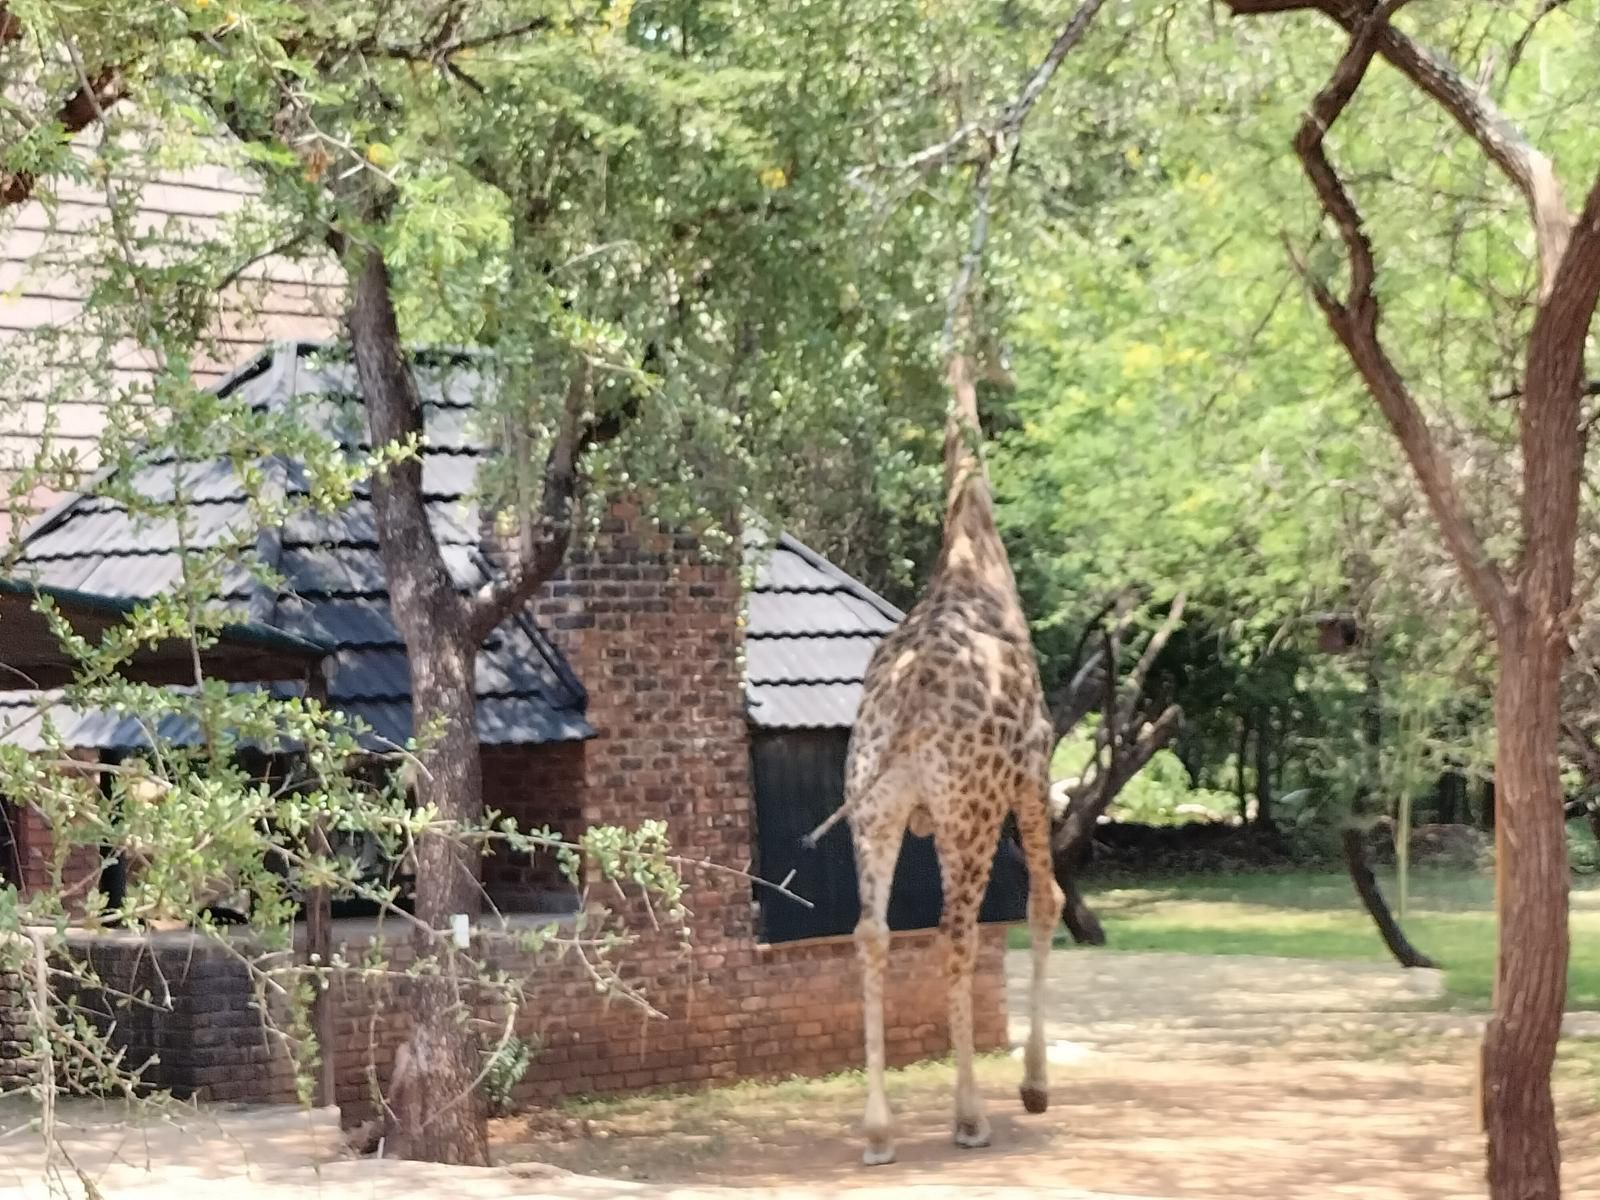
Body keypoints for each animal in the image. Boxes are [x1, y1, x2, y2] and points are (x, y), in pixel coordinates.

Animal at [825, 345, 1062, 1164]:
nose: (1009, 374)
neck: (972, 554)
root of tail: (907, 709)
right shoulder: (1035, 771)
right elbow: (1046, 902)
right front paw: (1033, 1086)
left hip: (877, 805)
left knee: (871, 932)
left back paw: (877, 1131)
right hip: (972, 810)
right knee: (956, 930)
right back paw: (969, 1118)